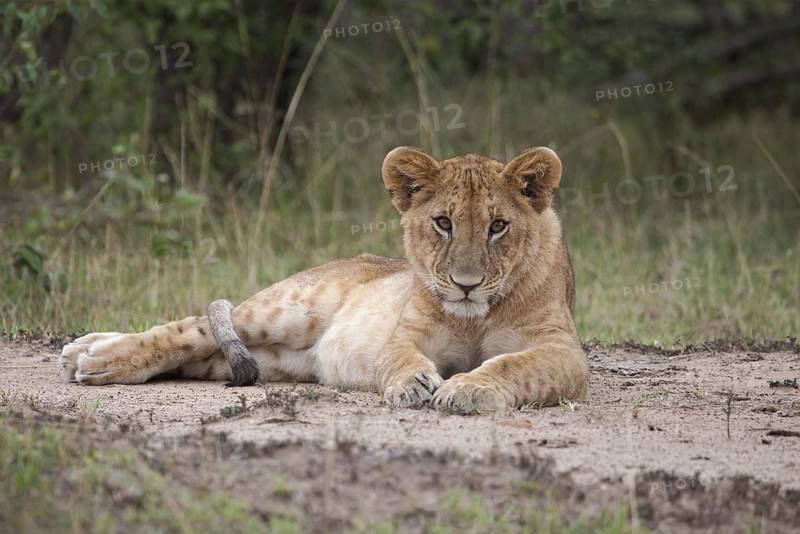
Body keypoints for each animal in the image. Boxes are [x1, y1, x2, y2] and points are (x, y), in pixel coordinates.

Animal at [60, 146, 589, 414]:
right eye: (443, 223)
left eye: (498, 226)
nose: (466, 284)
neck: (474, 317)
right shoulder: (407, 333)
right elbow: (398, 357)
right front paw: (413, 385)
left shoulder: (563, 351)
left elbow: (513, 365)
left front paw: (467, 389)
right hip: (287, 309)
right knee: (191, 326)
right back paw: (95, 358)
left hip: (265, 361)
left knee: (196, 352)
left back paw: (83, 350)